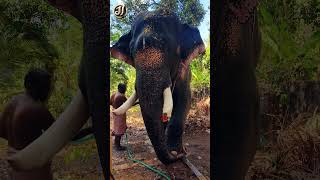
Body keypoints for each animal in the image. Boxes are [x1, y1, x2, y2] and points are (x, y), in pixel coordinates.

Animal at [110, 9, 205, 165]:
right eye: (131, 51)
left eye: (167, 47)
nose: (181, 154)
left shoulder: (184, 72)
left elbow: (185, 99)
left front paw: (176, 151)